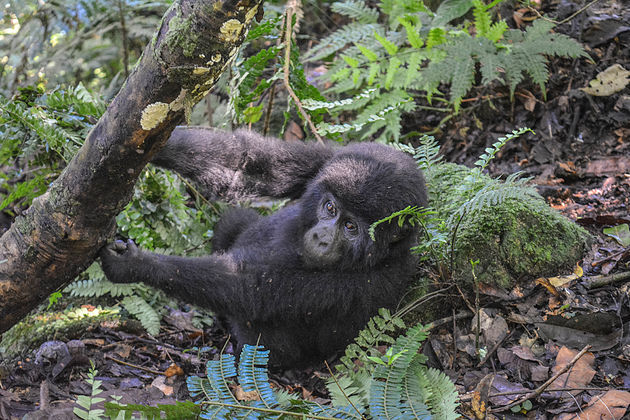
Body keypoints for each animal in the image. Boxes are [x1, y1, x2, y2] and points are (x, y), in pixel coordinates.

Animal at [101, 128, 430, 368]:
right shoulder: (332, 158)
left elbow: (250, 289)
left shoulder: (369, 281)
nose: (322, 238)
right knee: (234, 220)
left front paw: (137, 264)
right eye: (330, 208)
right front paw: (149, 143)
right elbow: (250, 166)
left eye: (351, 227)